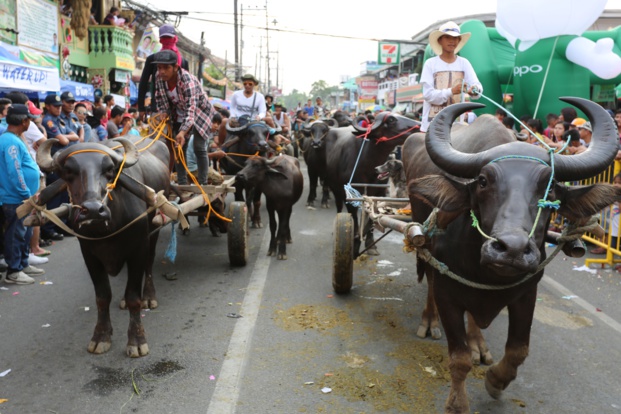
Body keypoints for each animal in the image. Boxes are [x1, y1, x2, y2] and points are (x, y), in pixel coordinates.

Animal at [38, 135, 170, 356]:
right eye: (68, 172)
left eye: (109, 170)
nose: (92, 210)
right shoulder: (89, 255)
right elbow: (102, 296)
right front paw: (101, 336)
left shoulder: (138, 248)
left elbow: (134, 296)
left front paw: (136, 340)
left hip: (154, 230)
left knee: (149, 263)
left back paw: (149, 297)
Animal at [322, 112, 418, 256]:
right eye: (391, 119)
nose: (419, 127)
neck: (368, 163)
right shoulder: (351, 196)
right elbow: (355, 219)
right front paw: (355, 240)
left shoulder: (379, 192)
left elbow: (373, 218)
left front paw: (370, 244)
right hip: (335, 188)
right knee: (339, 207)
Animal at [402, 98, 620, 412]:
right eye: (483, 181)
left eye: (550, 189)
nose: (512, 249)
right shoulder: (448, 290)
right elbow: (459, 358)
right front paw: (457, 403)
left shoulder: (526, 292)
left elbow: (518, 351)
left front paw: (495, 381)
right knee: (428, 278)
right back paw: (429, 322)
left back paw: (478, 343)